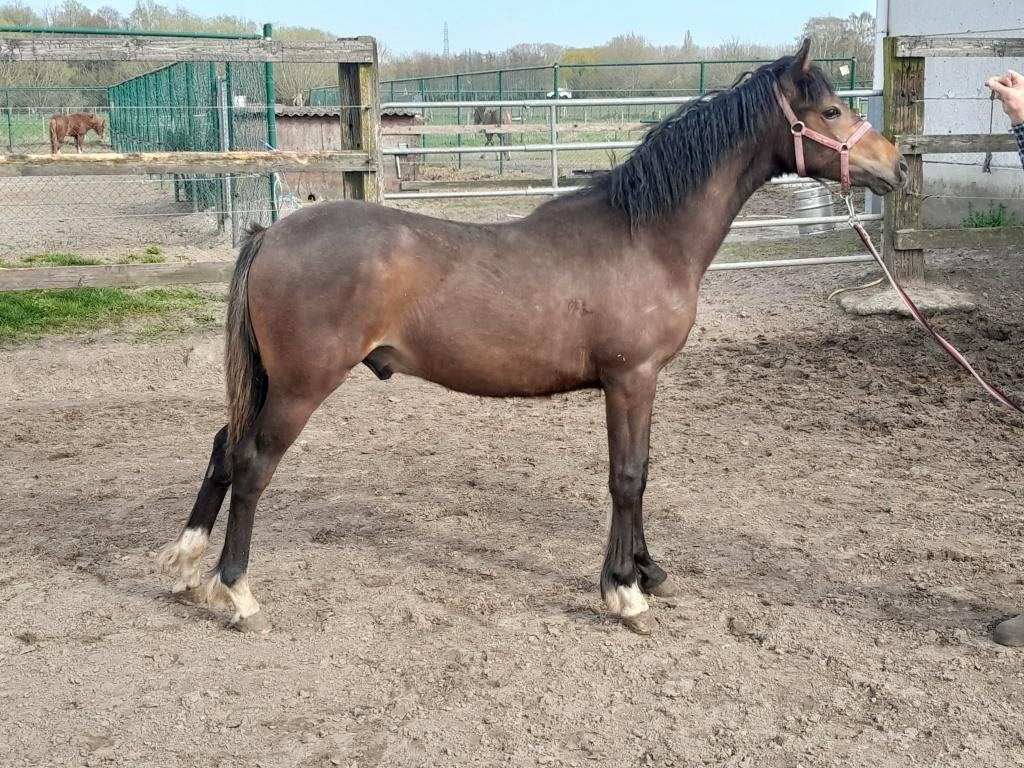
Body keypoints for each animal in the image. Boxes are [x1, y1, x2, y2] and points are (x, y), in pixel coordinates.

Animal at [158, 41, 906, 635]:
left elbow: (642, 471)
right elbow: (626, 476)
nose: (896, 166)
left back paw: (188, 568)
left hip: (272, 382)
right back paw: (237, 592)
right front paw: (623, 592)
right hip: (301, 385)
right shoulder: (630, 377)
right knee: (253, 464)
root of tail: (271, 233)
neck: (645, 235)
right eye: (830, 112)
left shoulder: (639, 382)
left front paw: (647, 570)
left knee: (224, 448)